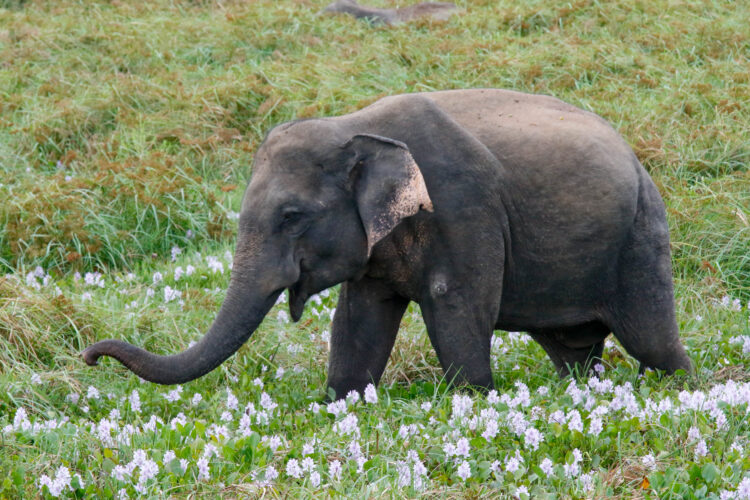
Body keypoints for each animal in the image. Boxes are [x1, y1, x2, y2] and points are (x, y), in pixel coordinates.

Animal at [83, 89, 692, 398]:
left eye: (291, 216)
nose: (89, 355)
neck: (353, 125)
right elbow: (359, 317)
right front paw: (344, 401)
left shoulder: (464, 209)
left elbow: (455, 303)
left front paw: (473, 400)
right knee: (573, 351)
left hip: (642, 235)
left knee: (653, 342)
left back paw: (677, 387)